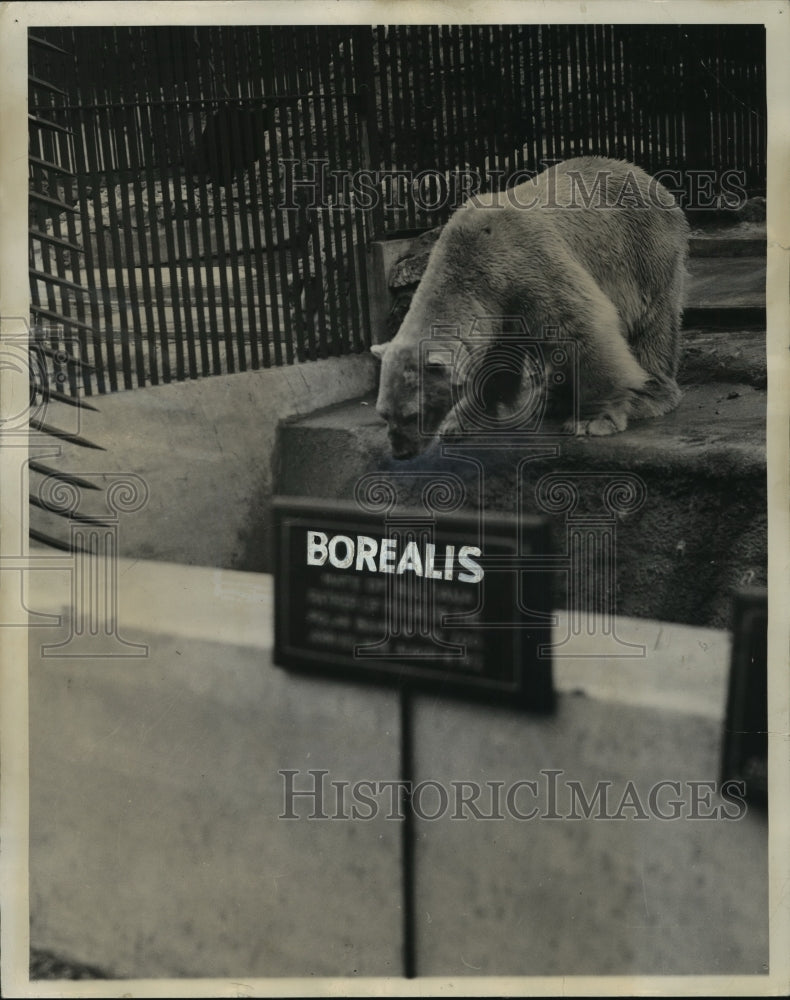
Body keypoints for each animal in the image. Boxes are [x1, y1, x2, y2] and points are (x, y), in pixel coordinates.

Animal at [374, 154, 688, 458]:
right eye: (384, 414)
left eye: (412, 414)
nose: (401, 452)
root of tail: (649, 178)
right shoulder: (497, 307)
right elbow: (496, 362)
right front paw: (458, 423)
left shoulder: (529, 264)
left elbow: (582, 326)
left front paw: (592, 420)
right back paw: (550, 399)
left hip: (644, 252)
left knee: (653, 324)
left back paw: (648, 396)